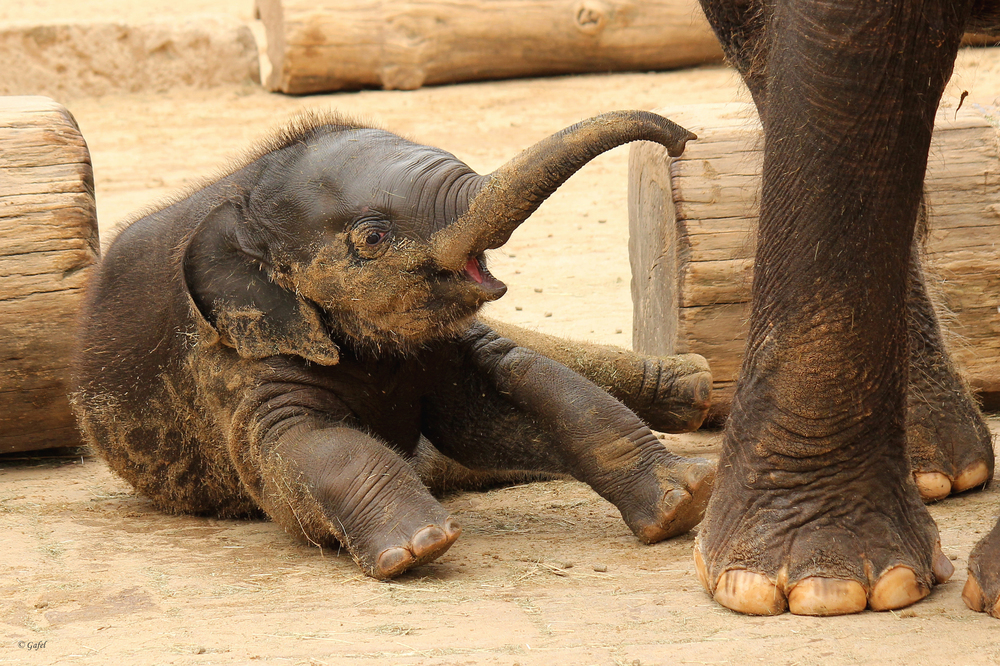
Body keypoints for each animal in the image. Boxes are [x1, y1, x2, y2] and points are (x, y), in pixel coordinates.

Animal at [74, 111, 716, 580]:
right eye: (374, 237)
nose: (681, 139)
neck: (244, 188)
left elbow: (526, 390)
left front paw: (684, 503)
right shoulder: (234, 364)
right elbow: (299, 448)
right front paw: (420, 548)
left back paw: (696, 387)